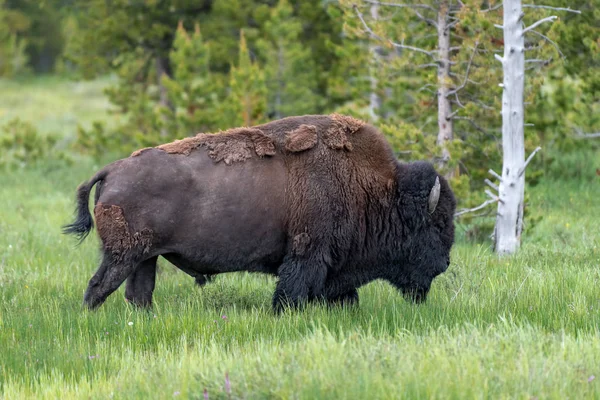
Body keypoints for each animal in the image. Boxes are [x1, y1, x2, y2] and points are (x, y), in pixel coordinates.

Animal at [63, 114, 458, 310]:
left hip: (145, 258)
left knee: (138, 295)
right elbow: (291, 292)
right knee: (98, 288)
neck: (371, 187)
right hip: (123, 256)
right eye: (436, 224)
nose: (445, 263)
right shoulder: (307, 254)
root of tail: (112, 169)